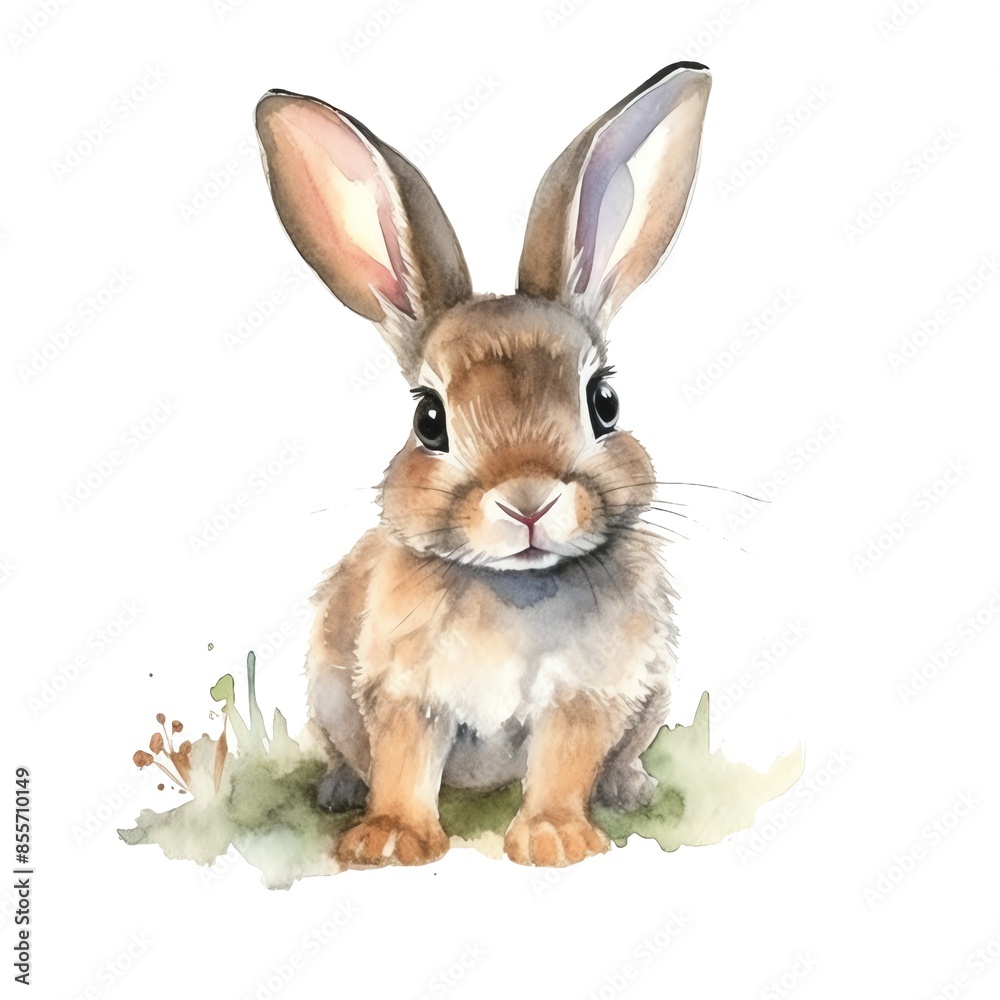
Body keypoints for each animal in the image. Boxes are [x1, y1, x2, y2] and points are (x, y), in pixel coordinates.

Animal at [254, 60, 711, 867]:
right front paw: (388, 840)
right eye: (427, 419)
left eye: (604, 401)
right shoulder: (403, 691)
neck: (514, 589)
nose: (528, 501)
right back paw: (338, 791)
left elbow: (564, 762)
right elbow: (405, 761)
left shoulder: (585, 697)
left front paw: (556, 839)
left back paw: (629, 788)